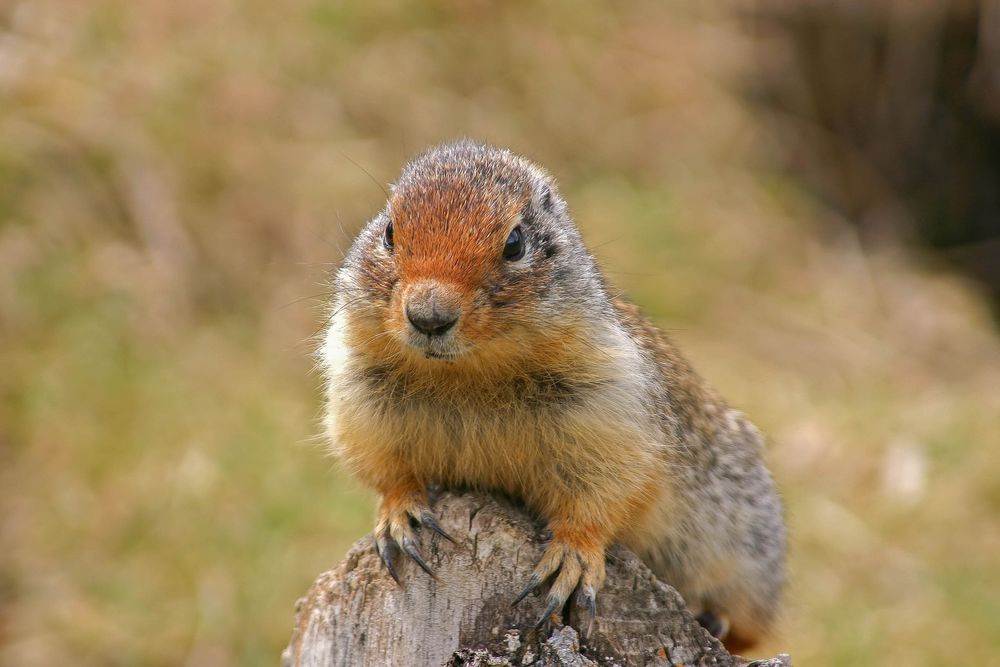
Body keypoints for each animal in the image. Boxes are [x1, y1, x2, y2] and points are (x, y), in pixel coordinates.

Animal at [320, 140, 786, 654]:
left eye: (515, 243)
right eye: (389, 232)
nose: (429, 315)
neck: (466, 376)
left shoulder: (612, 409)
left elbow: (604, 495)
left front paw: (571, 559)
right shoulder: (362, 398)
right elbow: (385, 469)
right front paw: (400, 516)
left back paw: (713, 617)